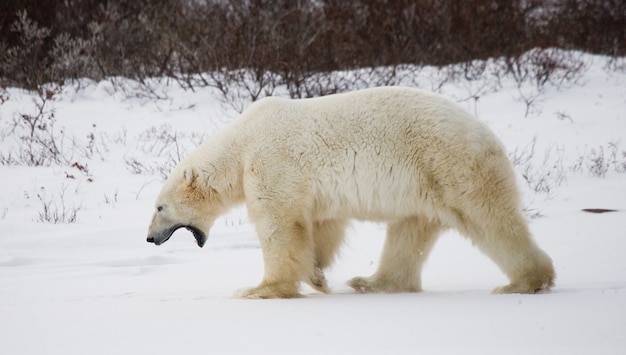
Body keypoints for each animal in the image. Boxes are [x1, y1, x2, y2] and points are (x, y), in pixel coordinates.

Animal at [147, 87, 556, 298]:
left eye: (160, 207)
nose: (149, 238)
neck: (241, 142)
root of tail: (489, 136)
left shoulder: (272, 161)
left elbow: (280, 226)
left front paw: (260, 289)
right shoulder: (311, 188)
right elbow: (321, 224)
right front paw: (317, 277)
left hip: (450, 165)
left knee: (490, 220)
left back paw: (525, 282)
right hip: (424, 185)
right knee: (409, 233)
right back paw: (372, 282)